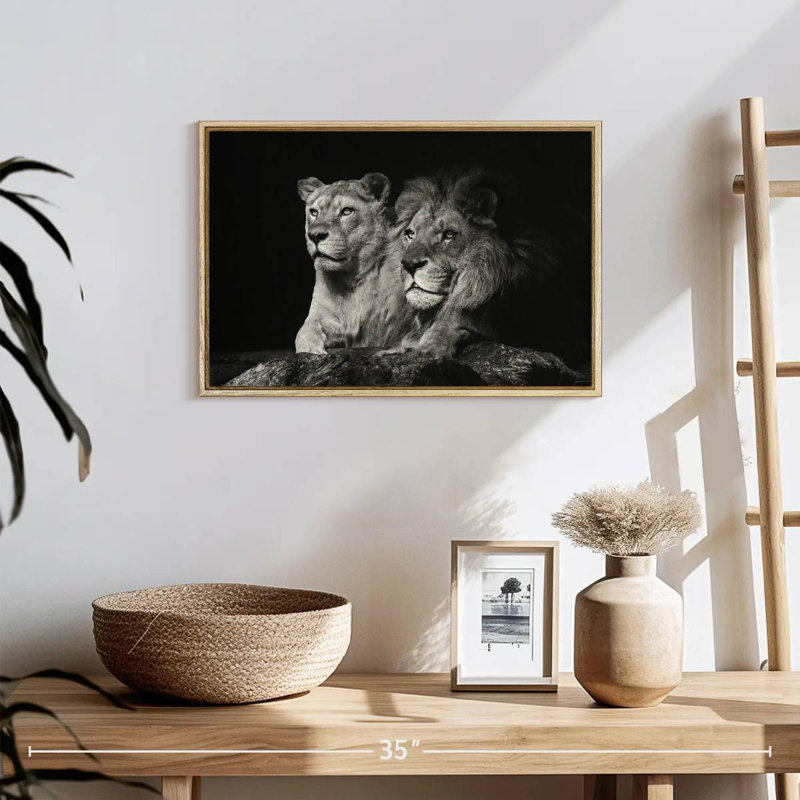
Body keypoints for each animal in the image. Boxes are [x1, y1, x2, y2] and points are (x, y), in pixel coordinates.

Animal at [295, 172, 412, 354]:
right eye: (314, 212)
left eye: (347, 211)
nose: (314, 235)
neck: (351, 279)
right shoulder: (322, 314)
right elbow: (305, 330)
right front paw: (310, 349)